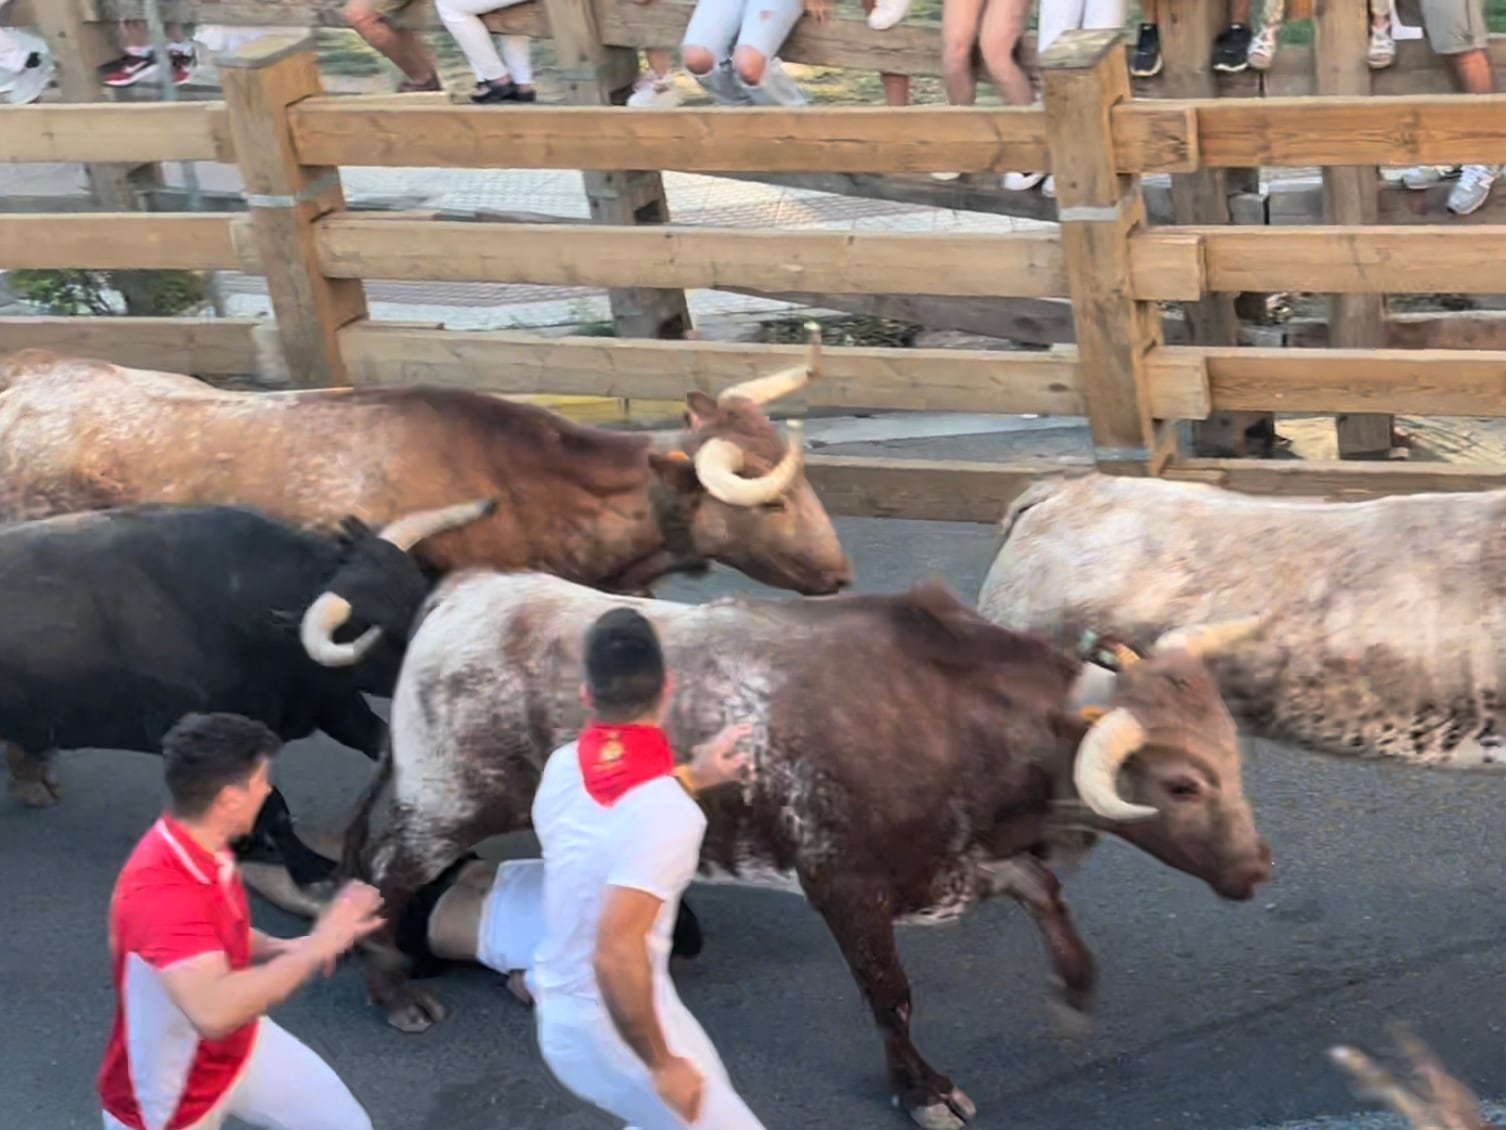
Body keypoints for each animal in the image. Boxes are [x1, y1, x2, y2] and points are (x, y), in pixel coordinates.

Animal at [0, 500, 490, 879]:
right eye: (374, 629)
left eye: (420, 587)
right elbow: (273, 807)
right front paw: (310, 868)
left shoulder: (331, 702)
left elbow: (380, 741)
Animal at [326, 575, 1271, 1130]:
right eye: (1182, 783)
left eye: (1232, 756)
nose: (1257, 866)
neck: (953, 714)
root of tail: (467, 590)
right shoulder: (844, 881)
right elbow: (890, 994)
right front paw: (922, 1092)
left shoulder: (955, 861)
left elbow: (1044, 892)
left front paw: (1073, 991)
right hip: (446, 804)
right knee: (383, 876)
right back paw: (392, 993)